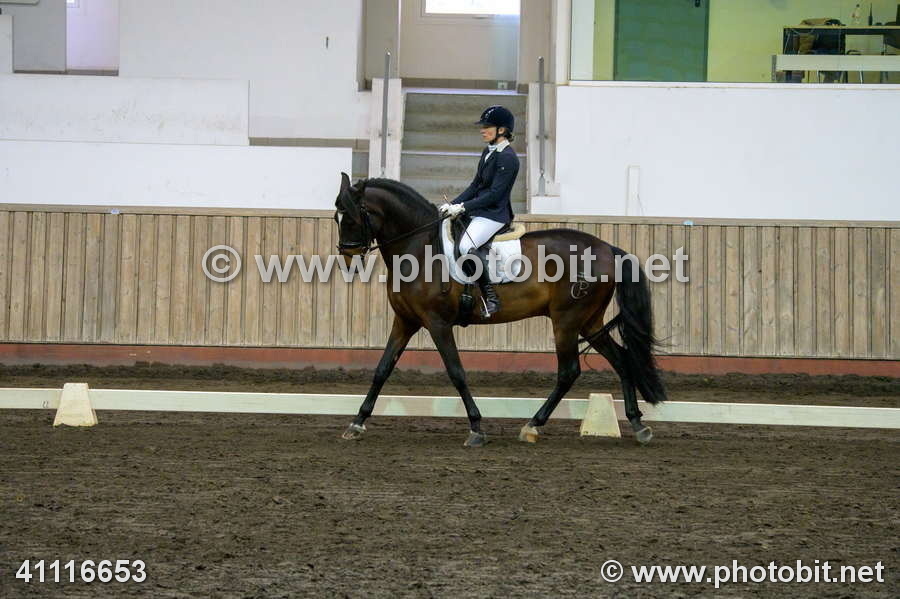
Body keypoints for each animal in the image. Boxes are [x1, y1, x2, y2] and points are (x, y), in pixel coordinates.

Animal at [334, 173, 667, 447]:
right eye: (338, 217)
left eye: (350, 218)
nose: (347, 257)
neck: (420, 248)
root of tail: (608, 249)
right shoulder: (405, 321)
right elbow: (382, 369)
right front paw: (357, 423)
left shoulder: (437, 323)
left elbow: (456, 372)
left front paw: (476, 428)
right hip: (589, 322)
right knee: (621, 360)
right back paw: (637, 425)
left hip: (567, 321)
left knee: (569, 371)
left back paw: (533, 425)